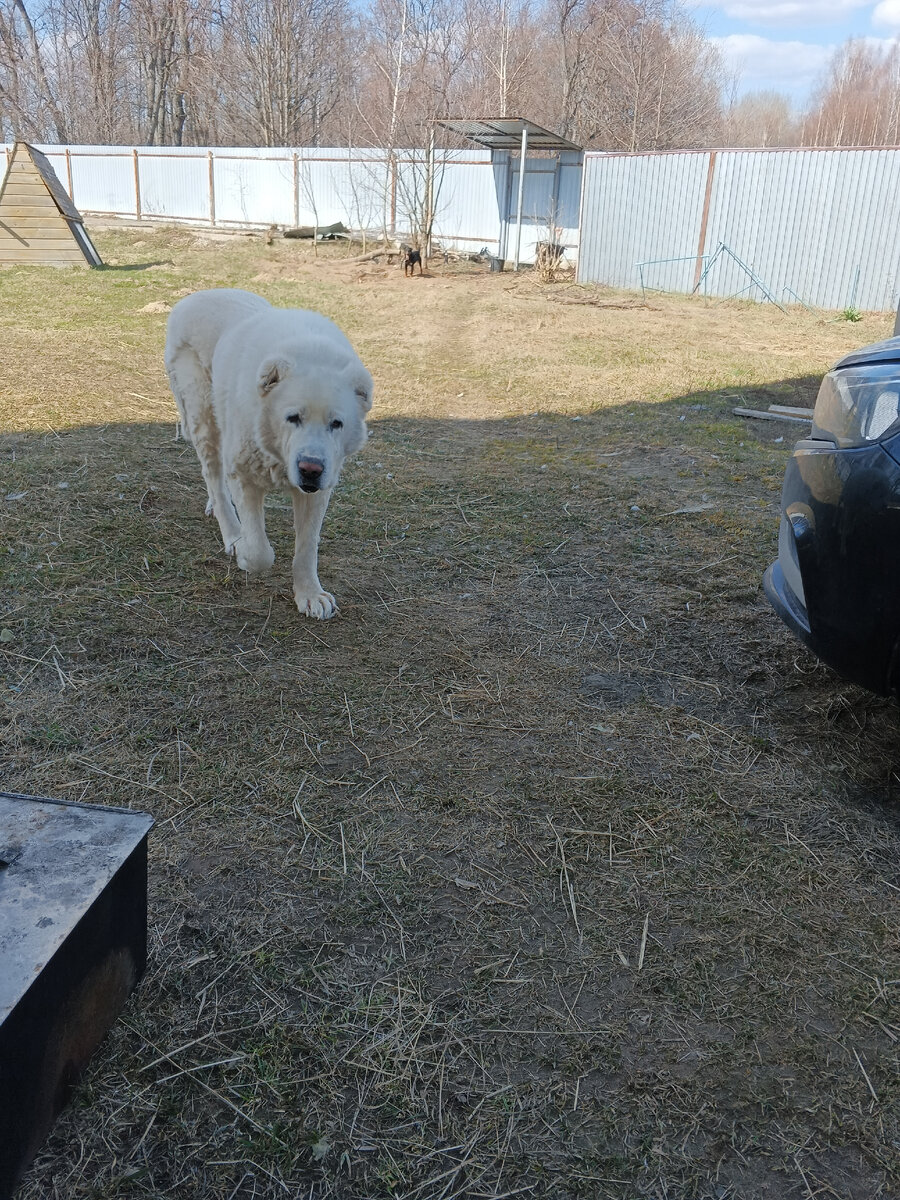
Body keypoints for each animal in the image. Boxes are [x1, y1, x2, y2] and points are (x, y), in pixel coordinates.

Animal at [164, 288, 372, 619]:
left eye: (336, 424)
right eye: (292, 417)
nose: (310, 469)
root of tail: (195, 295)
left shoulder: (318, 491)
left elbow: (307, 547)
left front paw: (309, 594)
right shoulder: (244, 474)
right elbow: (261, 552)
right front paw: (244, 551)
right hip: (202, 412)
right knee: (213, 474)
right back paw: (231, 530)